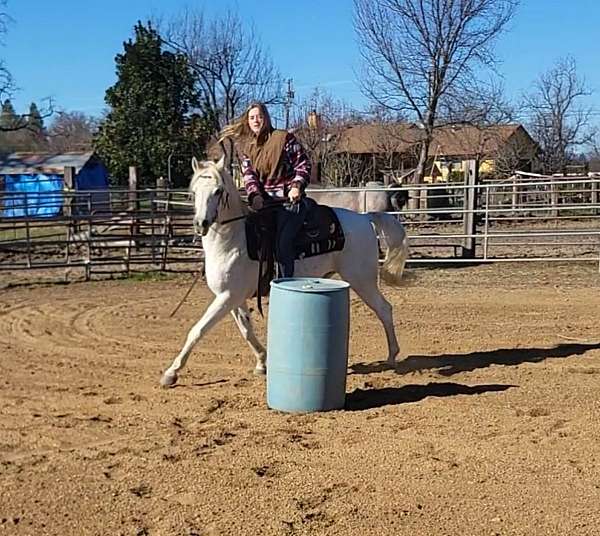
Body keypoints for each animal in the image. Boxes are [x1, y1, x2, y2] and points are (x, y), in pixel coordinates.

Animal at [159, 157, 410, 388]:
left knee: (384, 310)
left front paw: (171, 373)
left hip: (361, 280)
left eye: (218, 191)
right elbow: (246, 330)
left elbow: (197, 330)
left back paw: (392, 356)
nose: (200, 223)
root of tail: (365, 217)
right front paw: (261, 362)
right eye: (193, 191)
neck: (234, 240)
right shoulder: (233, 297)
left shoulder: (227, 297)